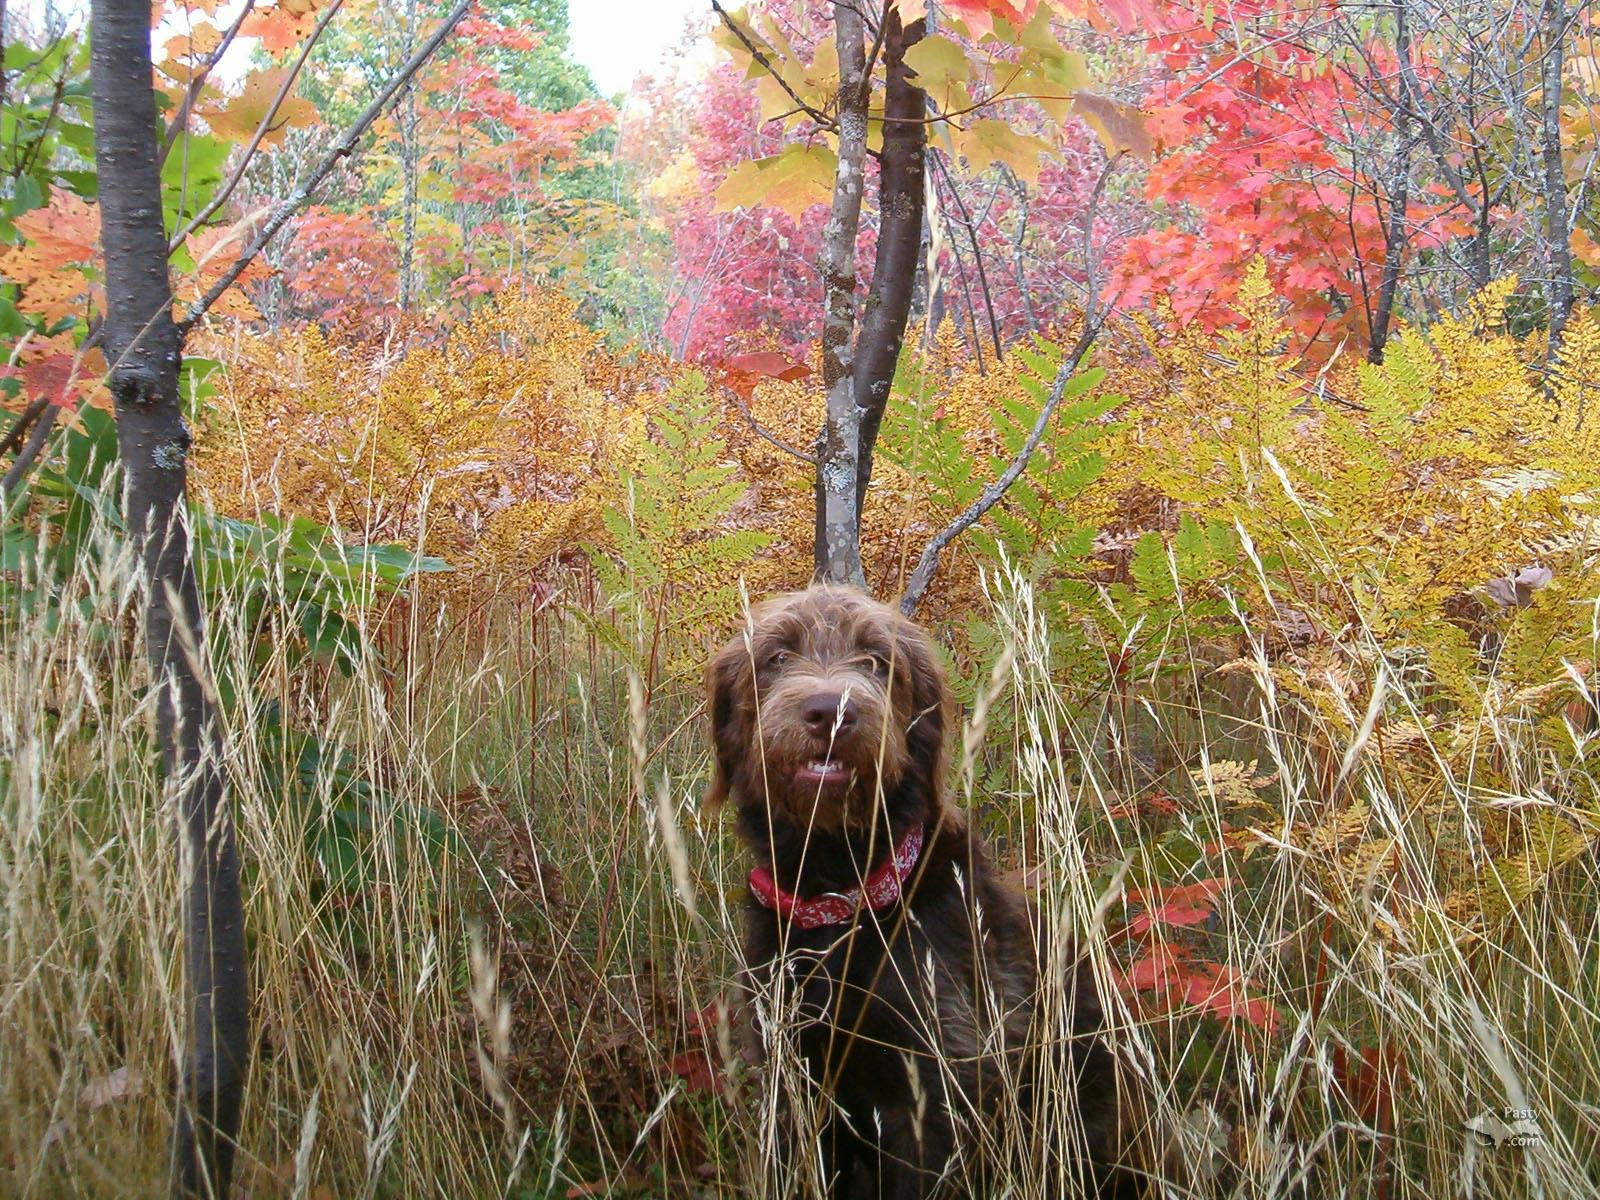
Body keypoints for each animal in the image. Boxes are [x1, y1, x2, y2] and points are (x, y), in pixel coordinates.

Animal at [706, 585, 1151, 1198]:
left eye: (876, 660)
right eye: (775, 657)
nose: (829, 712)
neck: (841, 900)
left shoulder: (933, 1092)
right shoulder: (789, 1080)